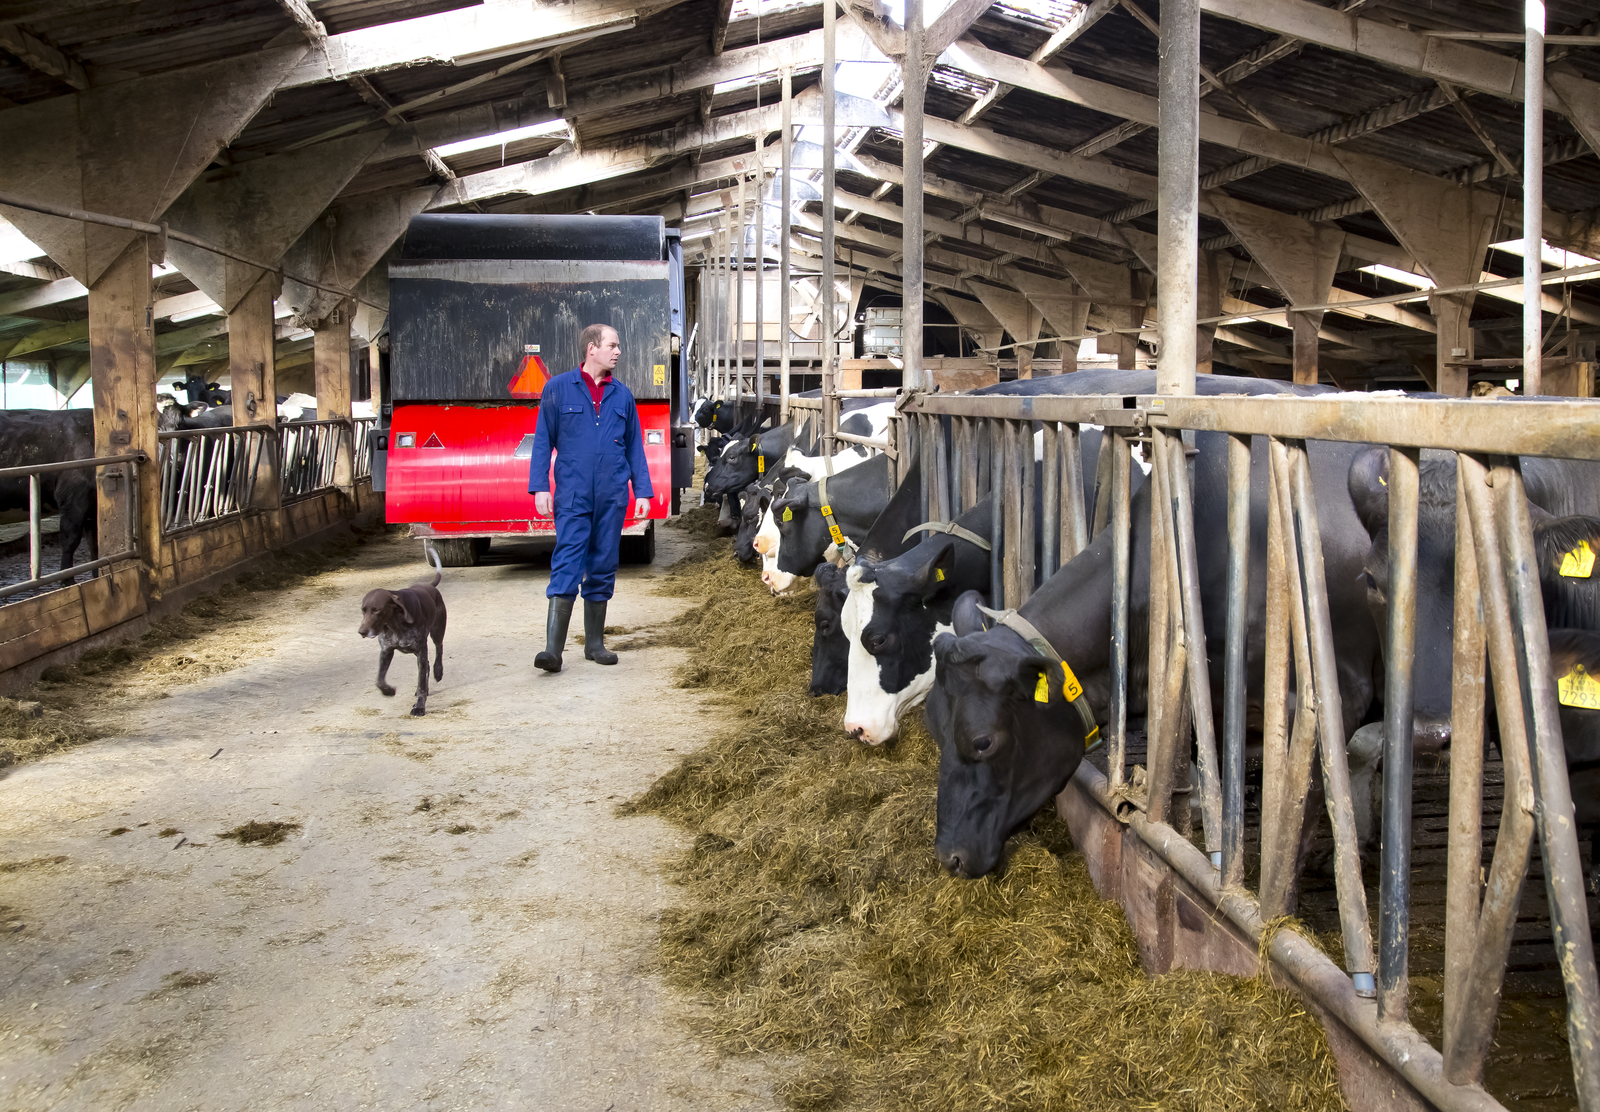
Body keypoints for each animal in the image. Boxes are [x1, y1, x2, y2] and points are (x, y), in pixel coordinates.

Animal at [356, 547, 444, 716]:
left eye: (377, 610)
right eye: (363, 610)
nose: (361, 632)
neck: (395, 624)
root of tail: (429, 586)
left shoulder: (421, 649)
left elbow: (421, 683)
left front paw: (419, 707)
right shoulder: (386, 651)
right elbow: (379, 680)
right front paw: (388, 691)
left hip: (437, 632)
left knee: (439, 650)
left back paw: (438, 671)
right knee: (427, 665)